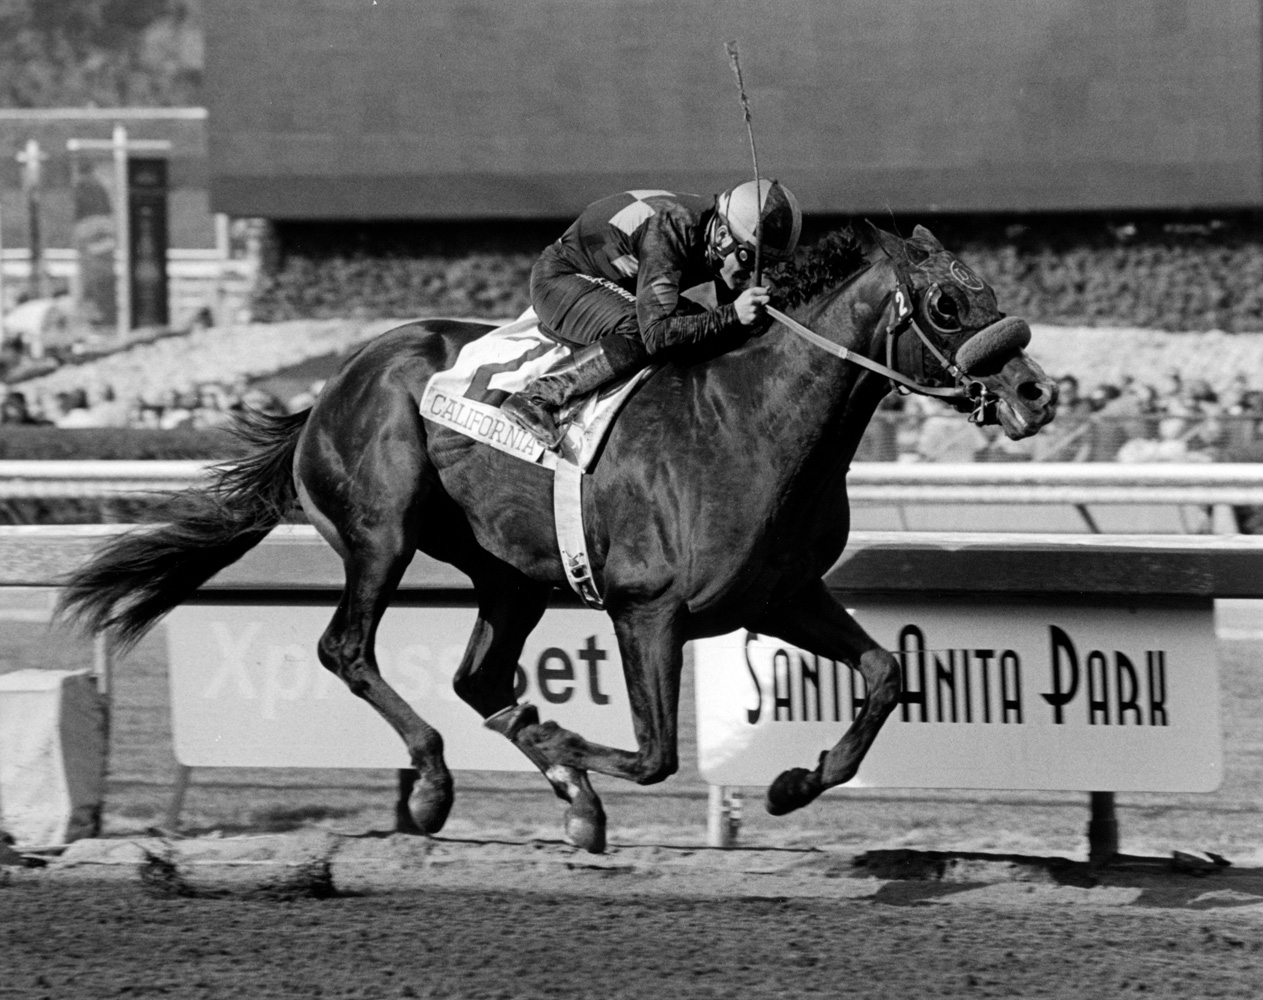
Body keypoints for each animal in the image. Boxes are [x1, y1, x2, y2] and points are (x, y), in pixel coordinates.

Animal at [56, 224, 1055, 853]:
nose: (1036, 394)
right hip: (382, 531)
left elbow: (884, 675)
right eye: (946, 304)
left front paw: (790, 784)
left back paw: (563, 796)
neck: (748, 422)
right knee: (350, 649)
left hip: (512, 577)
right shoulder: (645, 611)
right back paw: (436, 782)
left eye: (988, 290)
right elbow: (653, 757)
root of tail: (335, 381)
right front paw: (565, 741)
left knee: (478, 679)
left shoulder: (781, 594)